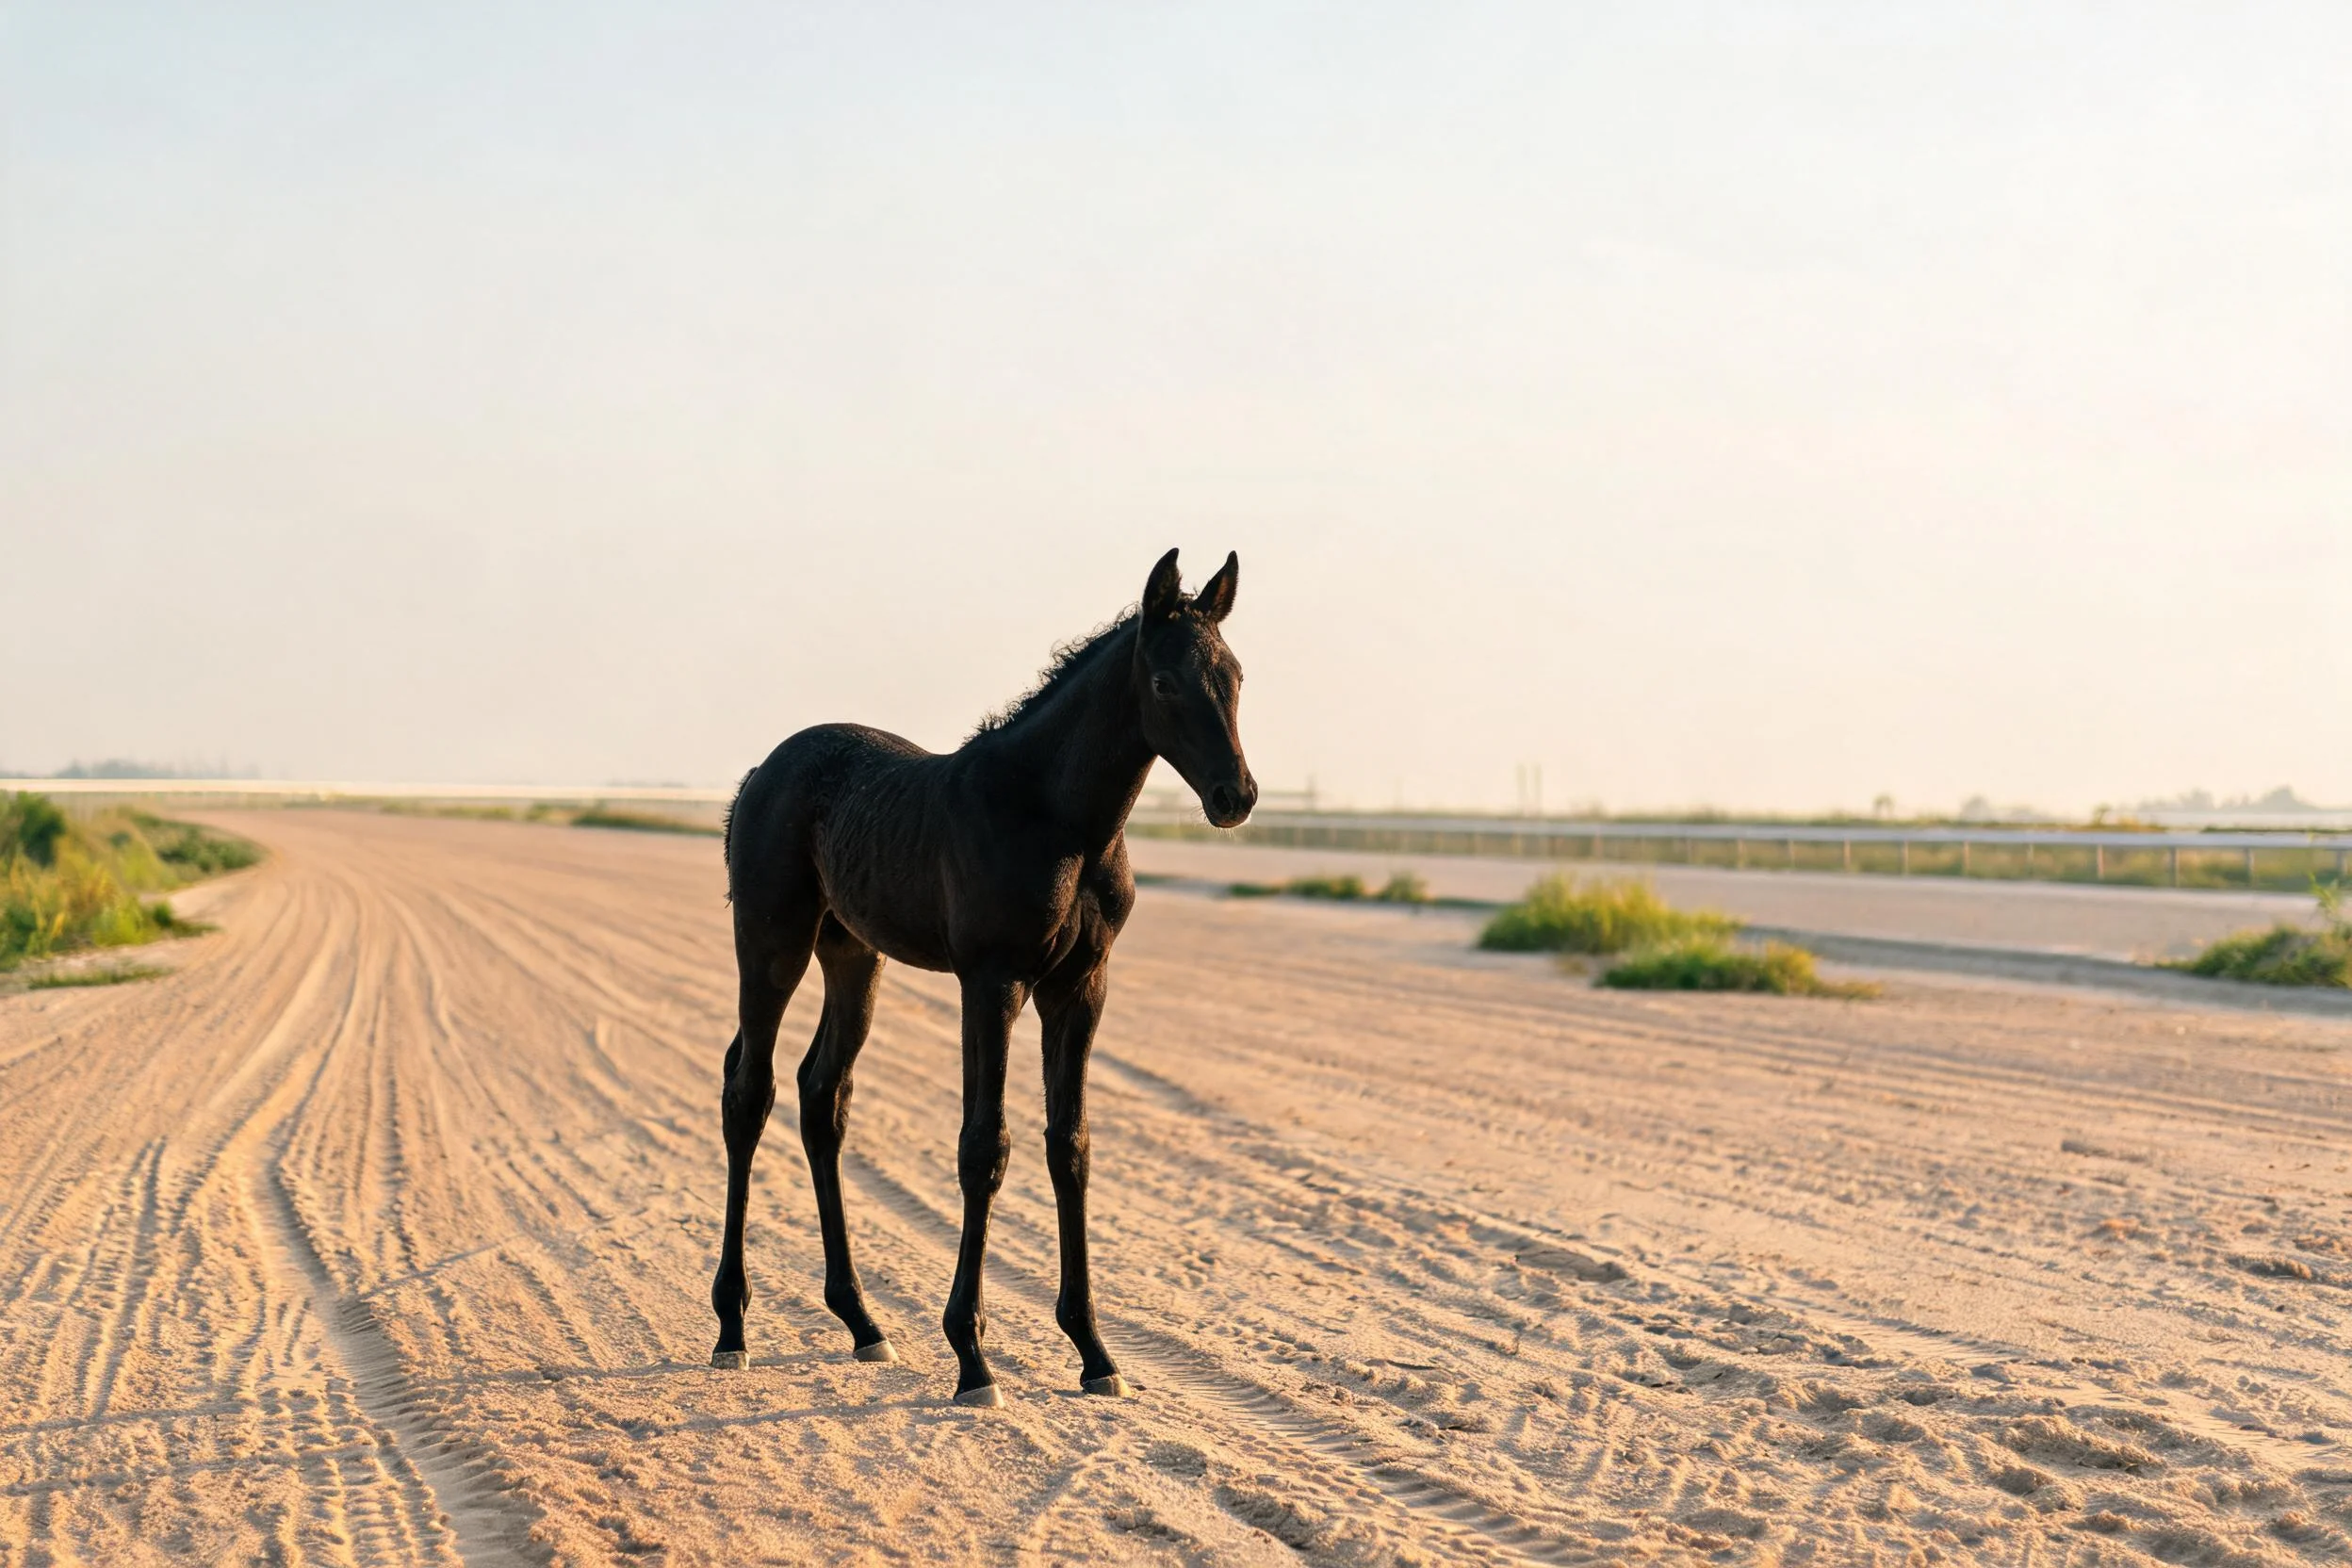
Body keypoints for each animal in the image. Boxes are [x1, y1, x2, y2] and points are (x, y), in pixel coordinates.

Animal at [710, 548, 1256, 1405]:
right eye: (1167, 683)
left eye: (1234, 675)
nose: (1237, 797)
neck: (1058, 820)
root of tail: (763, 771)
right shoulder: (992, 982)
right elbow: (983, 1147)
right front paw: (972, 1358)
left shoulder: (1082, 987)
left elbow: (1071, 1146)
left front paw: (1094, 1351)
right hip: (773, 944)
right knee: (749, 1090)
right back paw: (732, 1327)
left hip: (853, 956)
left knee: (821, 1095)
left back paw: (862, 1322)